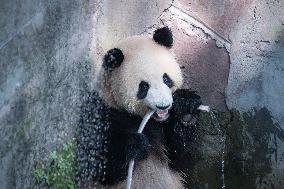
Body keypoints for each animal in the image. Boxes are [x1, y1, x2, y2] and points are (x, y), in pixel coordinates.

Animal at [76, 27, 203, 189]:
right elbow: (99, 165)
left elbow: (181, 160)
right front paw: (135, 144)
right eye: (144, 87)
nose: (163, 106)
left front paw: (186, 109)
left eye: (166, 79)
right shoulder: (102, 114)